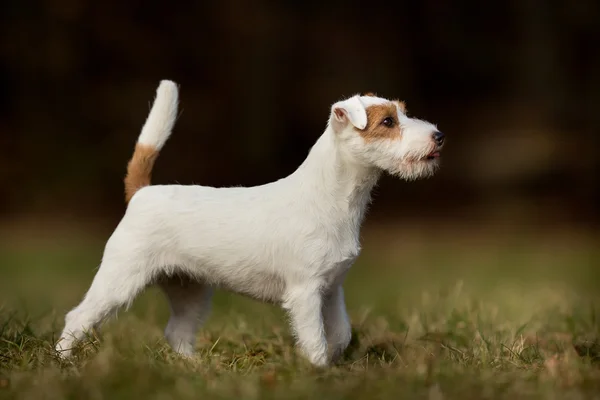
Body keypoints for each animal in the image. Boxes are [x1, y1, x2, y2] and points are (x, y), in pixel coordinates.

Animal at [56, 80, 442, 366]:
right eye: (388, 122)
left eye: (404, 111)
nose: (438, 136)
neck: (332, 198)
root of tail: (141, 193)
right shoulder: (305, 293)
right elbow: (314, 339)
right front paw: (318, 371)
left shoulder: (332, 289)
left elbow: (341, 333)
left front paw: (335, 363)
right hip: (119, 279)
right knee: (77, 317)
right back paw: (63, 362)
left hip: (190, 290)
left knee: (177, 332)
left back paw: (195, 370)